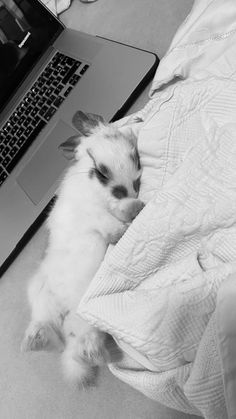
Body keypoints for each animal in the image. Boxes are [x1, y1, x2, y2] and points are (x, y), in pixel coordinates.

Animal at [21, 110, 144, 388]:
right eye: (100, 171)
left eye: (135, 156)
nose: (124, 189)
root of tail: (66, 311)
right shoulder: (93, 213)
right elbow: (110, 222)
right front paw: (128, 219)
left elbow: (115, 217)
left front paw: (134, 209)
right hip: (41, 295)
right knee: (53, 334)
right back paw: (33, 341)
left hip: (82, 321)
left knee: (78, 347)